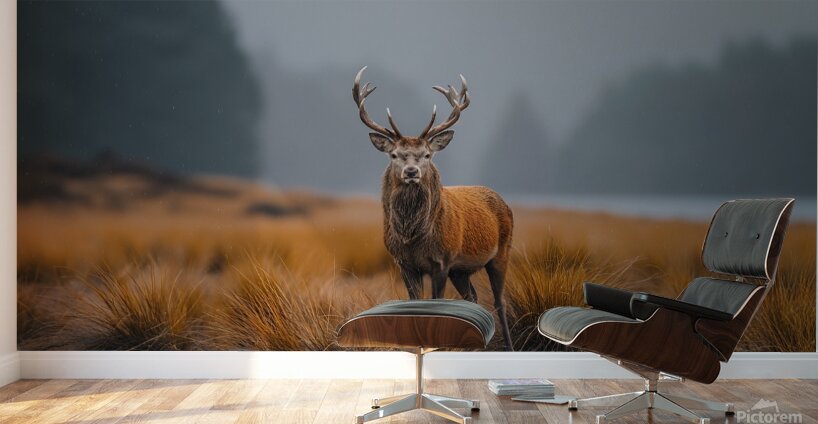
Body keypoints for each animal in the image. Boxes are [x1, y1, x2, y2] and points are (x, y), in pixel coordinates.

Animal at [352, 67, 514, 350]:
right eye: (394, 155)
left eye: (427, 154)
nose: (411, 171)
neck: (414, 238)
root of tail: (504, 202)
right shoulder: (404, 263)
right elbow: (416, 304)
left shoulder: (442, 260)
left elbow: (437, 306)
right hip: (461, 270)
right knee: (472, 298)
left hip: (501, 252)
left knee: (500, 302)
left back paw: (508, 347)